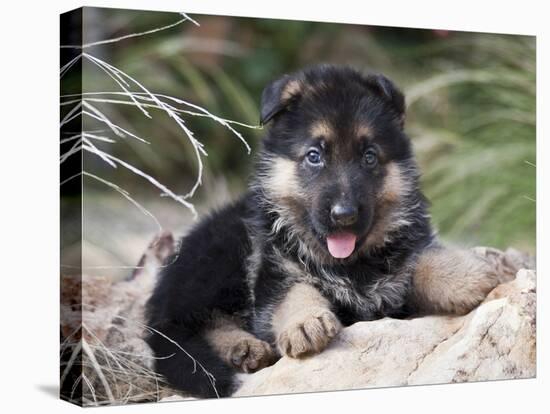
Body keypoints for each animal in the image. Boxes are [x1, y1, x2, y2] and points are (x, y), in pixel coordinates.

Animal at [146, 64, 500, 398]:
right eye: (314, 156)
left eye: (369, 157)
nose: (344, 215)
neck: (350, 265)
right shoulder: (274, 271)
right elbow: (294, 291)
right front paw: (305, 322)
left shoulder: (397, 279)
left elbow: (418, 261)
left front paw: (465, 275)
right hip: (223, 255)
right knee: (197, 323)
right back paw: (243, 347)